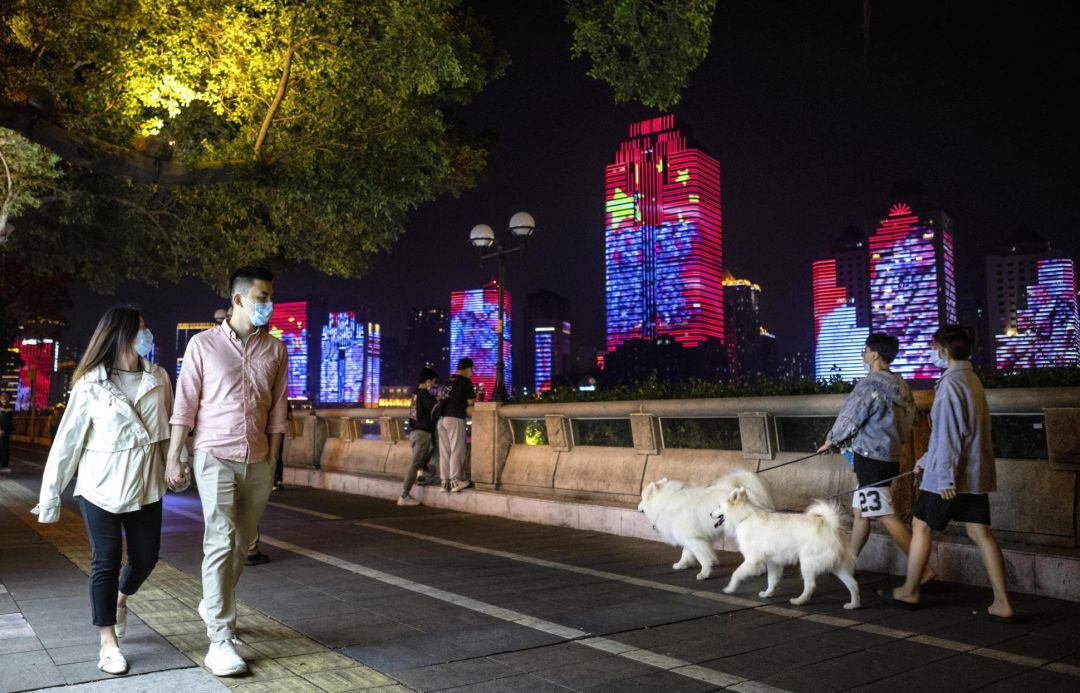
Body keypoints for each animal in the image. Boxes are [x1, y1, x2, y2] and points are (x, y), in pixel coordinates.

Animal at [635, 470, 773, 578]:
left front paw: (704, 573)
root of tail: (750, 493)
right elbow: (686, 553)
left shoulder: (693, 539)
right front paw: (681, 565)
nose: (637, 507)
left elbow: (703, 557)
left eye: (642, 498)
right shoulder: (691, 537)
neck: (666, 502)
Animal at [708, 483, 859, 608]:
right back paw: (854, 605)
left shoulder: (752, 561)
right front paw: (768, 594)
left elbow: (736, 573)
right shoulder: (773, 562)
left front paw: (729, 588)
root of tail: (831, 525)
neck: (745, 517)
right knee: (853, 584)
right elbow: (771, 580)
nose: (710, 513)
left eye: (719, 506)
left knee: (810, 585)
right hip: (837, 566)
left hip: (807, 563)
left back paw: (799, 601)